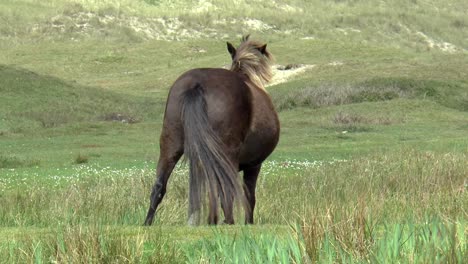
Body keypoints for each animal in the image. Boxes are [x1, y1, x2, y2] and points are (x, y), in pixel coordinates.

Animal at [144, 35, 280, 225]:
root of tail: (196, 84)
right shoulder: (254, 165)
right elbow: (248, 196)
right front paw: (248, 222)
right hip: (227, 154)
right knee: (228, 192)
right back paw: (228, 222)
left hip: (170, 144)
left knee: (159, 186)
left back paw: (148, 222)